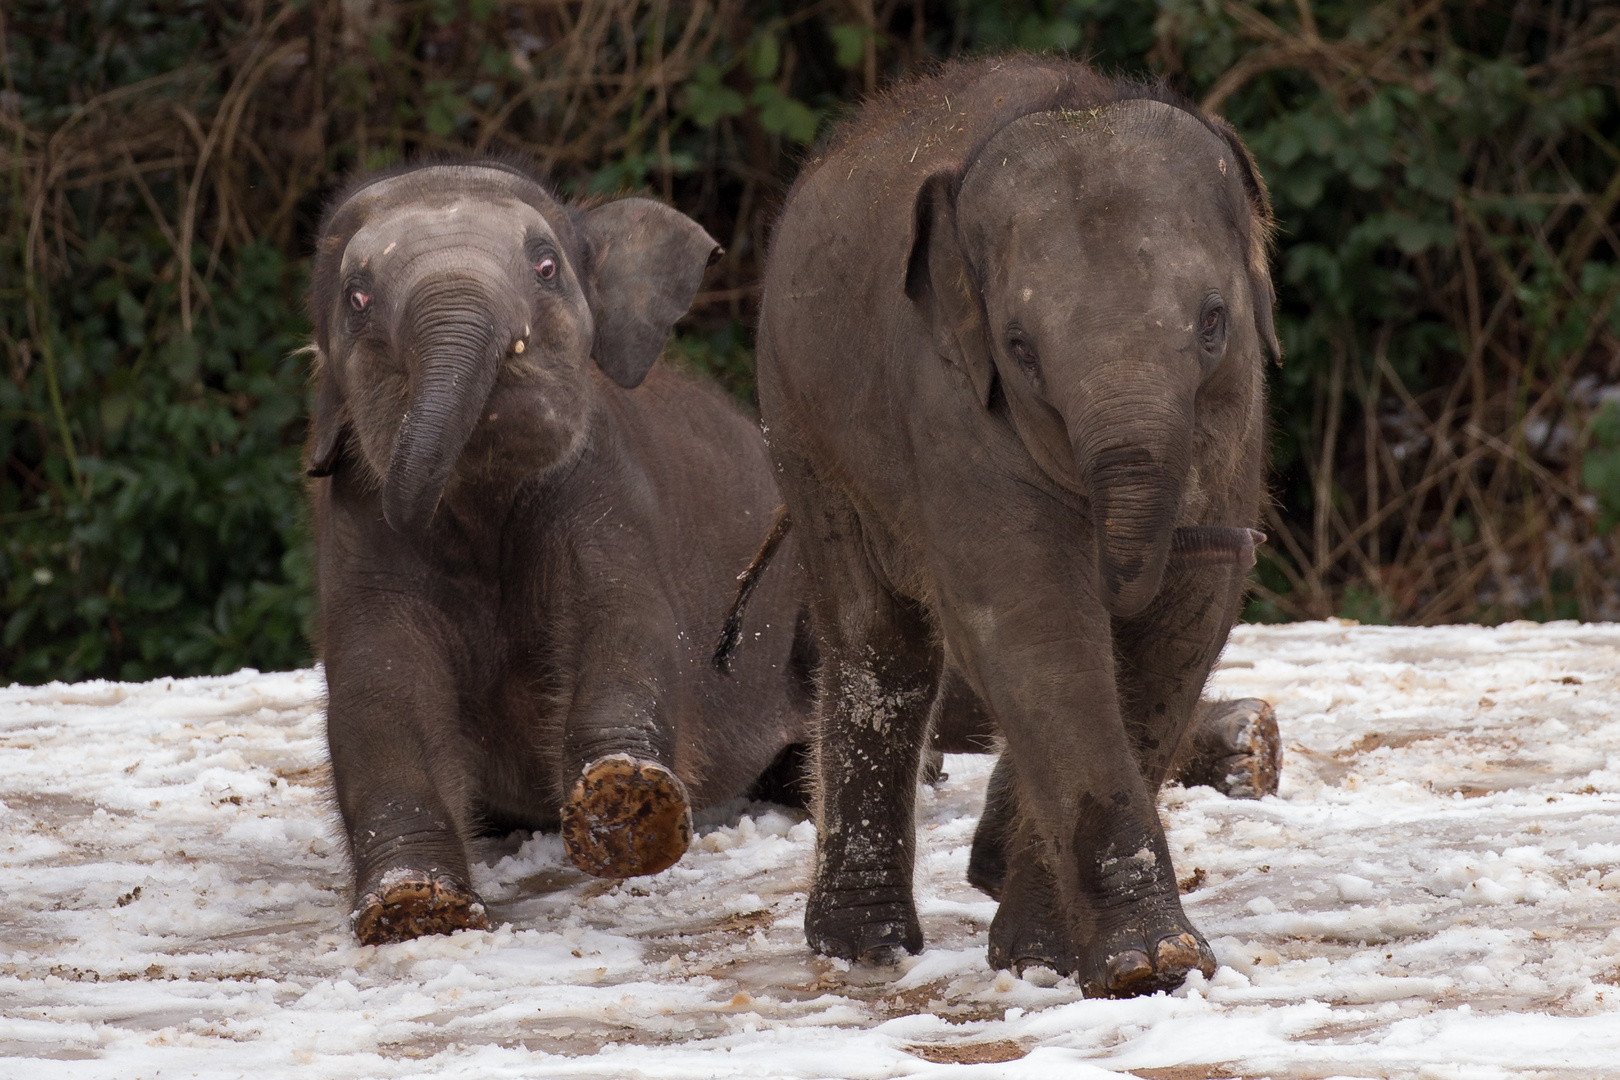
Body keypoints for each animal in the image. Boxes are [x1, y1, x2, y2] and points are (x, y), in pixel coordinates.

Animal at [304, 162, 810, 945]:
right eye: (356, 297)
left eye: (545, 266)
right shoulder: (359, 531)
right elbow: (377, 686)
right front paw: (412, 906)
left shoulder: (605, 492)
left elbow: (628, 623)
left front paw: (626, 802)